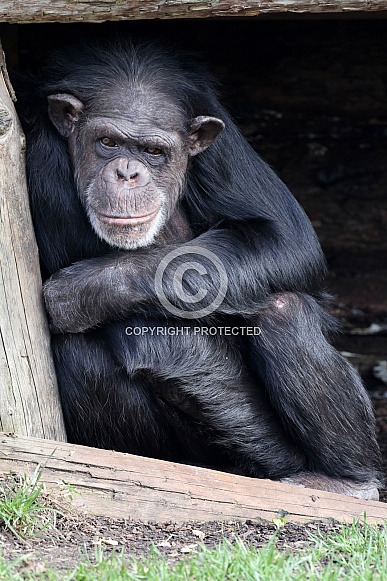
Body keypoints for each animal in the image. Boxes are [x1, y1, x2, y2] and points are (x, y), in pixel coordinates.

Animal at [16, 39, 384, 498]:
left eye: (154, 152)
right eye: (107, 141)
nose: (127, 172)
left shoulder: (221, 139)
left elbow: (287, 238)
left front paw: (78, 290)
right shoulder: (45, 163)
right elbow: (156, 339)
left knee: (284, 310)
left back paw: (347, 480)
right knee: (79, 353)